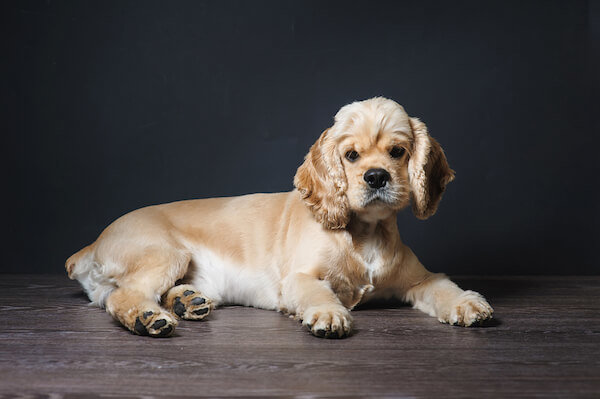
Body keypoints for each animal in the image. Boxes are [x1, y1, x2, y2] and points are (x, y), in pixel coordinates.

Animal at [68, 97, 494, 338]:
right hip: (167, 253)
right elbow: (318, 292)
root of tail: (91, 245)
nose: (376, 177)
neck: (366, 234)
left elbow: (444, 287)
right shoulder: (298, 278)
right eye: (351, 155)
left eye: (398, 151)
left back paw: (185, 301)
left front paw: (468, 305)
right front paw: (329, 314)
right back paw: (148, 318)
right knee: (123, 296)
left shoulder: (421, 279)